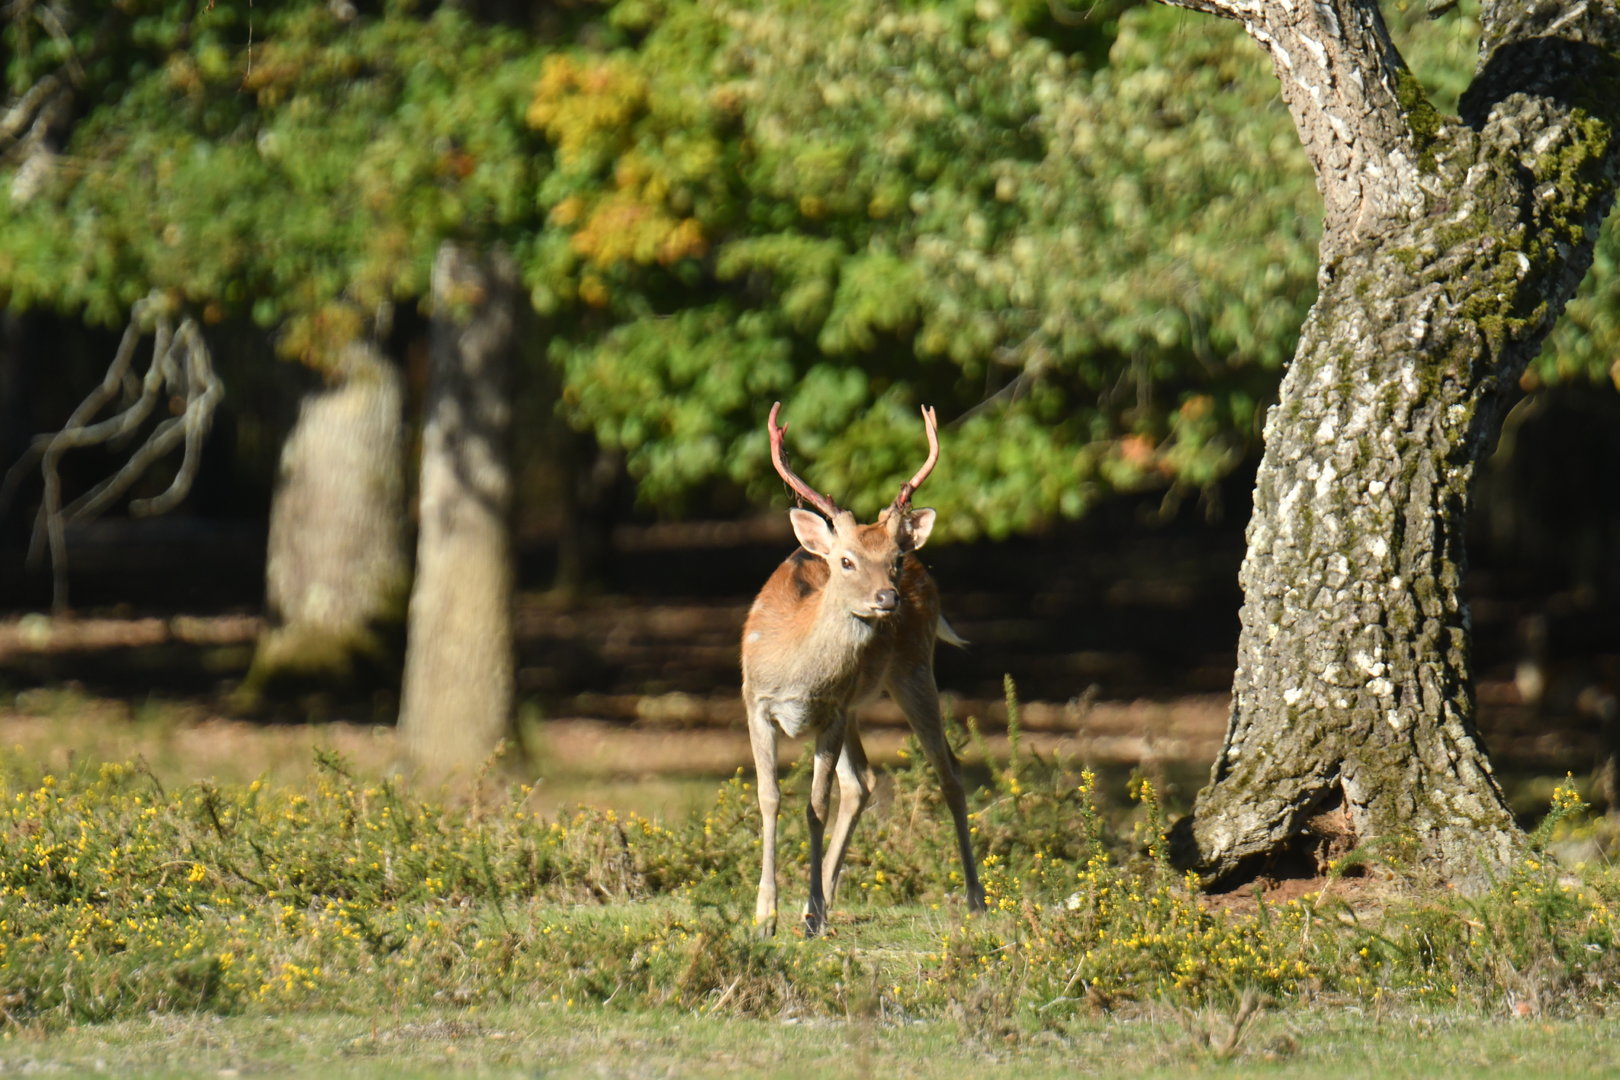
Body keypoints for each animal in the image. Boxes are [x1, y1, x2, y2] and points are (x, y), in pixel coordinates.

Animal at [741, 401, 987, 937]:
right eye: (846, 561)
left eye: (892, 559)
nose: (887, 598)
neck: (796, 670)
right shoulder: (756, 703)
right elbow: (770, 797)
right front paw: (766, 915)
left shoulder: (829, 712)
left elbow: (815, 805)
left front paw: (806, 914)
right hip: (858, 703)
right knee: (863, 781)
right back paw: (827, 898)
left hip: (913, 672)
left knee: (949, 771)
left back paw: (975, 897)